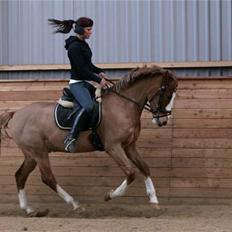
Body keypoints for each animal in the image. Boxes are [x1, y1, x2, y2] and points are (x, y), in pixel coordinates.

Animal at [0, 65, 178, 216]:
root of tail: (16, 114)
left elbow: (144, 168)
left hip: (31, 155)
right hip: (39, 153)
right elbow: (131, 172)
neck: (123, 105)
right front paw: (109, 195)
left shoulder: (129, 146)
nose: (163, 121)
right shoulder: (113, 147)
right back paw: (75, 205)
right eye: (168, 94)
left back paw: (29, 209)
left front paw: (154, 200)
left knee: (20, 175)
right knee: (47, 178)